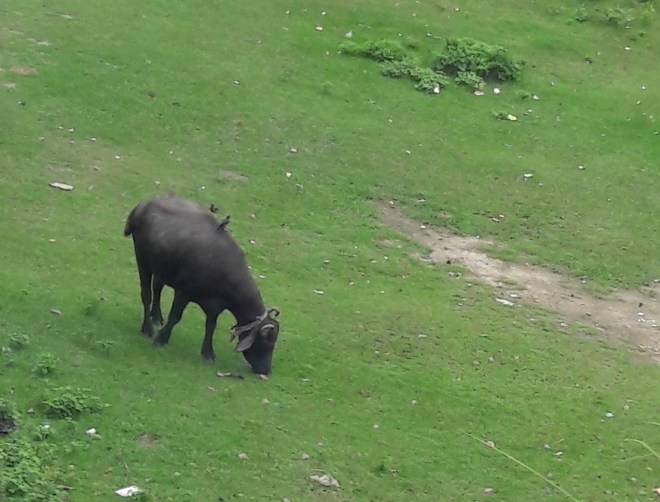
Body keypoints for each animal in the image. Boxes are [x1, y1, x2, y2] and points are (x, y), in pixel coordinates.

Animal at [124, 194, 280, 374]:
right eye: (266, 342)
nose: (265, 370)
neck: (222, 267)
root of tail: (142, 205)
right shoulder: (183, 292)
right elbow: (175, 317)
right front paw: (161, 339)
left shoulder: (215, 307)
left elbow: (210, 326)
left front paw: (208, 353)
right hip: (142, 259)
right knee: (146, 294)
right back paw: (148, 328)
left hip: (161, 268)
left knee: (157, 288)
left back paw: (156, 317)